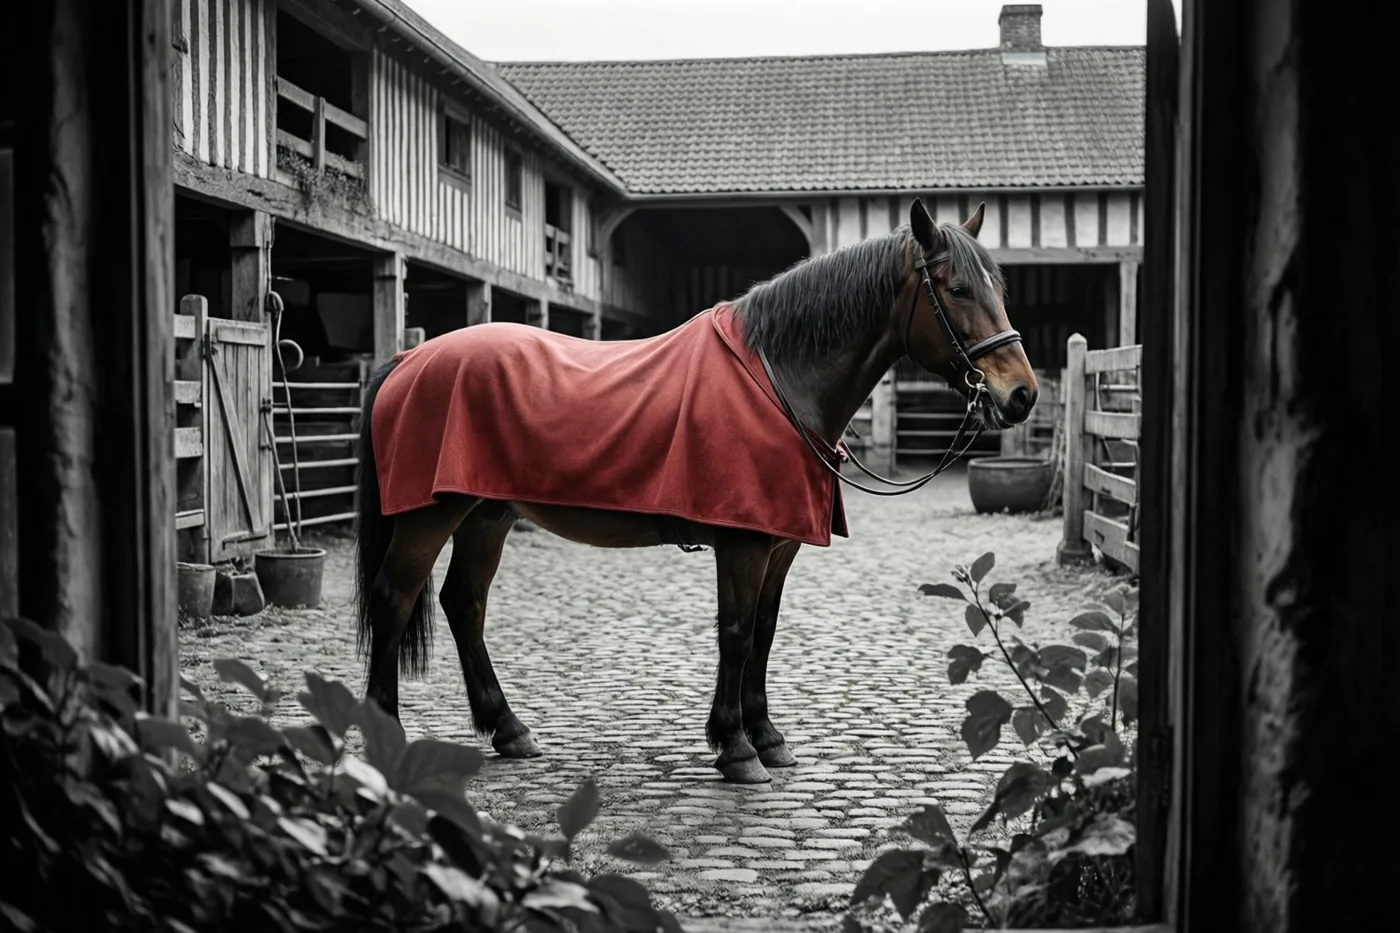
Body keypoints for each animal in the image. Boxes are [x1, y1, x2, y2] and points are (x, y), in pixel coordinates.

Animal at [352, 198, 1038, 784]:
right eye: (956, 290)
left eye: (1002, 291)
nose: (1021, 395)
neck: (780, 379)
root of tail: (407, 361)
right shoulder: (743, 542)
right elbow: (735, 632)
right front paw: (735, 748)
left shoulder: (779, 544)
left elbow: (764, 631)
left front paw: (767, 737)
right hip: (429, 518)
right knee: (394, 599)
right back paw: (388, 735)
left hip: (487, 515)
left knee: (464, 604)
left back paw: (508, 728)